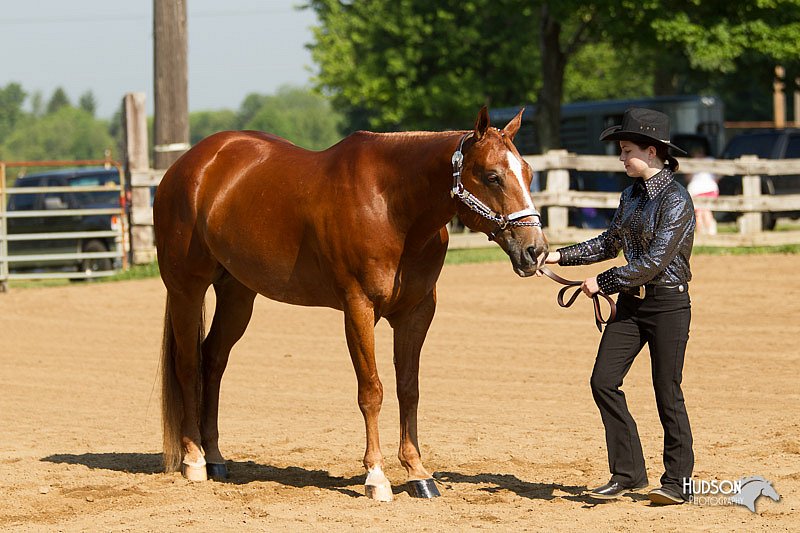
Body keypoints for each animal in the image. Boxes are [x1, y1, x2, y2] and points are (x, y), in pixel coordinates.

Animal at [153, 107, 548, 498]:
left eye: (529, 173)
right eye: (493, 177)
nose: (536, 251)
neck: (392, 207)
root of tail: (188, 165)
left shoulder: (417, 313)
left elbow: (409, 389)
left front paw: (418, 473)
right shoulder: (358, 308)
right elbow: (371, 390)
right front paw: (377, 476)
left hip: (237, 294)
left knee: (213, 360)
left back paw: (216, 457)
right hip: (186, 289)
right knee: (187, 363)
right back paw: (194, 460)